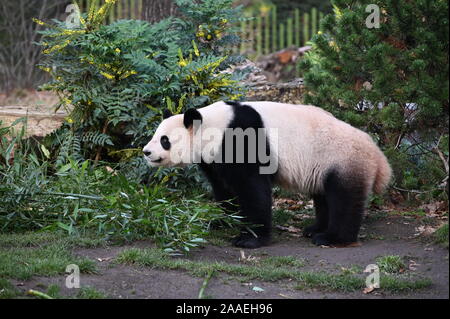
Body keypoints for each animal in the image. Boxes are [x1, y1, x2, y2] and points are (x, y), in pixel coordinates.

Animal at [142, 101, 392, 249]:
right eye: (155, 135)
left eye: (164, 140)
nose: (146, 152)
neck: (212, 126)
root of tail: (377, 155)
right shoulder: (214, 158)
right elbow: (224, 189)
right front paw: (222, 221)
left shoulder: (242, 139)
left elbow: (252, 188)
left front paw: (248, 238)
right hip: (324, 166)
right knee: (324, 197)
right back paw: (315, 229)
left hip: (343, 158)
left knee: (343, 199)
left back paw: (333, 238)